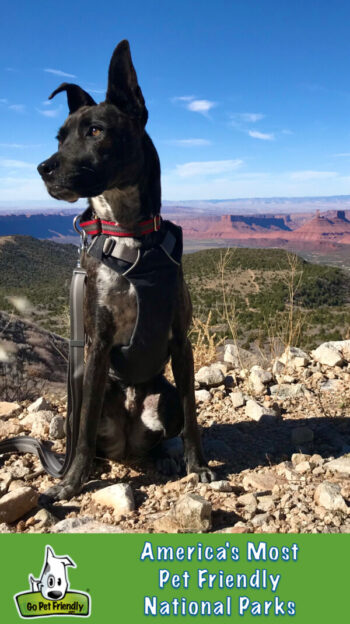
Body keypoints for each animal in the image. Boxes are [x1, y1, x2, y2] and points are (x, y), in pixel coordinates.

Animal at [37, 39, 215, 500]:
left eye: (96, 131)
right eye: (60, 137)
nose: (44, 168)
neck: (130, 239)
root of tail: (127, 446)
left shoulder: (180, 341)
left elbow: (192, 413)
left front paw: (197, 465)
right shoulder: (97, 345)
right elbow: (82, 434)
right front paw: (70, 483)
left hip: (161, 396)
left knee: (166, 429)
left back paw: (165, 456)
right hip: (82, 390)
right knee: (85, 431)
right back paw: (84, 467)